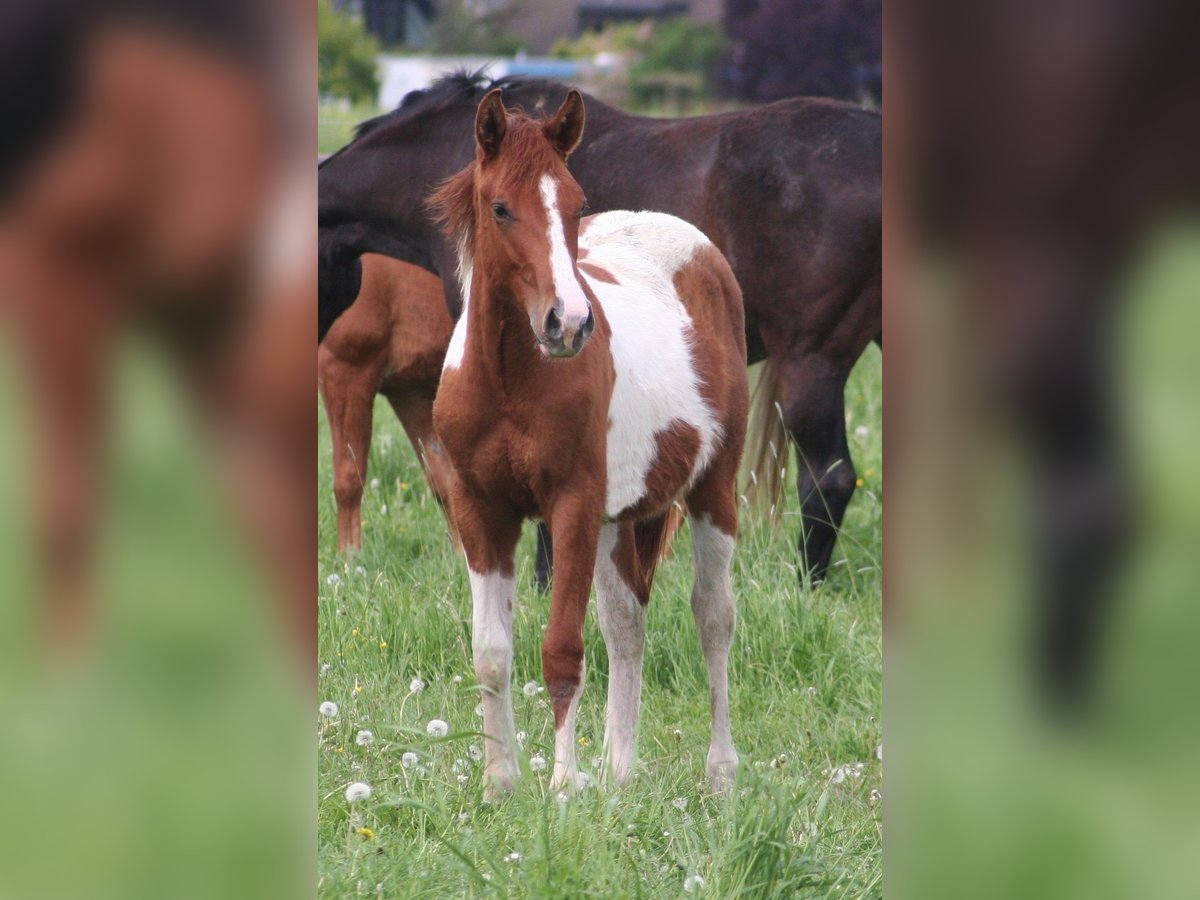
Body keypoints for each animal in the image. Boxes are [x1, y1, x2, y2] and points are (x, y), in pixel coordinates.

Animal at [429, 88, 748, 801]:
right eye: (501, 207)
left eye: (575, 204)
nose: (570, 324)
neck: (509, 381)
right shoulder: (480, 510)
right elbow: (492, 653)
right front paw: (501, 782)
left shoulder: (570, 507)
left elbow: (562, 651)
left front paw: (561, 787)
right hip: (616, 517)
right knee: (626, 624)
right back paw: (619, 771)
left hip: (713, 489)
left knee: (712, 617)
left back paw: (720, 773)